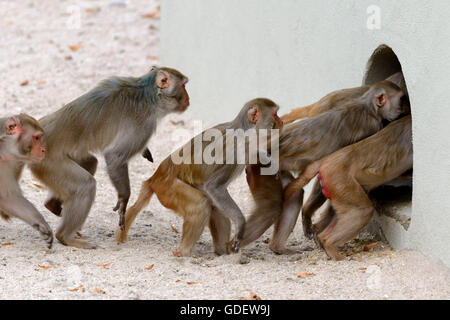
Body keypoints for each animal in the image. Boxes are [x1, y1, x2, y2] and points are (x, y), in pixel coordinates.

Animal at [29, 66, 188, 249]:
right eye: (183, 86)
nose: (188, 98)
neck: (148, 92)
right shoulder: (145, 124)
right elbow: (115, 157)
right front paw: (124, 199)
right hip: (48, 162)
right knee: (86, 185)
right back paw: (65, 236)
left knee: (90, 162)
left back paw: (52, 204)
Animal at [117, 99, 282, 256]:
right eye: (275, 114)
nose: (281, 122)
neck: (245, 133)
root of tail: (155, 177)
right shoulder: (234, 151)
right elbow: (214, 187)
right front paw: (241, 224)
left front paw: (267, 159)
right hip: (168, 189)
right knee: (200, 204)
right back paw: (184, 252)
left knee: (214, 206)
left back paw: (223, 252)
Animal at [288, 115, 412, 260]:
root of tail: (325, 161)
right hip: (340, 180)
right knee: (362, 211)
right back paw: (330, 246)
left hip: (335, 186)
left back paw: (320, 236)